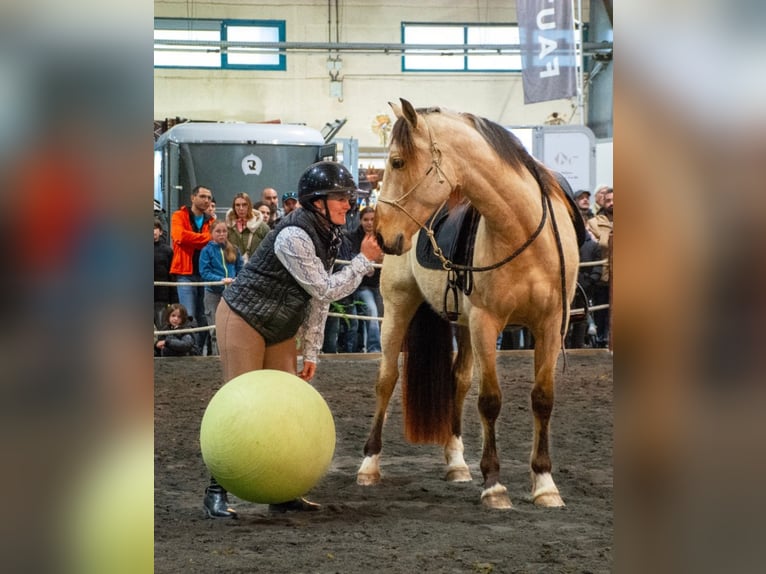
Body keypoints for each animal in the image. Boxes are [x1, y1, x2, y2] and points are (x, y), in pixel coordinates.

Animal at [356, 99, 581, 509]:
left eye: (396, 161)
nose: (379, 234)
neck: (522, 232)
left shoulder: (550, 325)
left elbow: (542, 398)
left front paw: (544, 483)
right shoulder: (485, 323)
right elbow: (490, 400)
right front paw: (494, 484)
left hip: (461, 323)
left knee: (457, 381)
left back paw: (457, 463)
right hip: (399, 306)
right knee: (386, 380)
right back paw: (369, 464)